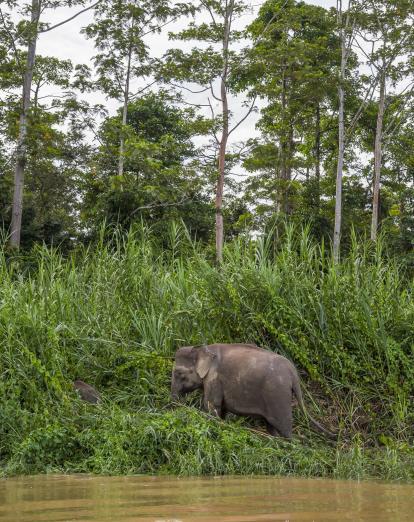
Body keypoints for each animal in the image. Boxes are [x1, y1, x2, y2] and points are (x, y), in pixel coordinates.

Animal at [170, 344, 334, 436]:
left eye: (178, 373)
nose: (177, 404)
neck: (203, 348)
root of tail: (293, 374)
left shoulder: (214, 377)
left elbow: (212, 406)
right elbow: (221, 409)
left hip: (278, 394)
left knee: (284, 428)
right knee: (271, 425)